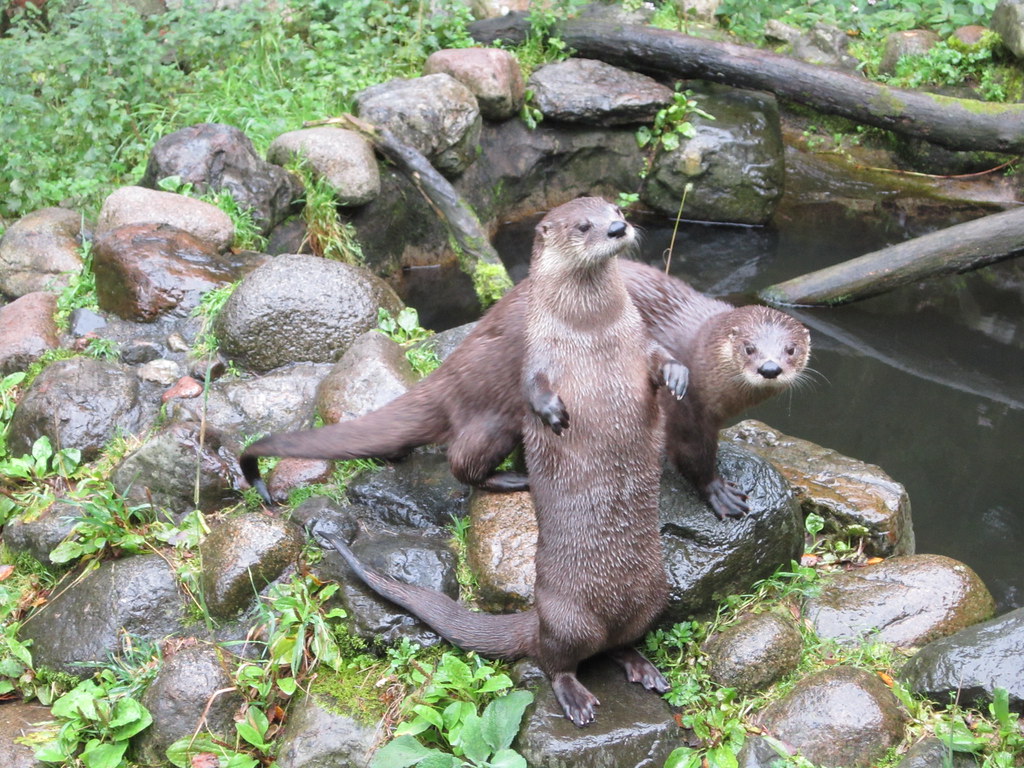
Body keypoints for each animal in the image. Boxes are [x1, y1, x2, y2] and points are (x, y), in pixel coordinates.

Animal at [240, 227, 809, 520]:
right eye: (749, 346)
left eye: (792, 348)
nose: (769, 367)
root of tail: (455, 370)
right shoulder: (688, 410)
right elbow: (691, 455)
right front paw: (719, 492)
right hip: (497, 415)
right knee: (460, 460)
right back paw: (512, 478)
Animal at [328, 198, 685, 726]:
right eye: (584, 225)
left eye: (613, 208)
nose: (618, 228)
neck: (592, 331)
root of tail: (536, 617)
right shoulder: (536, 353)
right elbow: (531, 385)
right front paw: (551, 412)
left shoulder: (641, 340)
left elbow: (661, 359)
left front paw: (679, 377)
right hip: (568, 619)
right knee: (557, 659)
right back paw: (576, 697)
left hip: (654, 596)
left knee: (617, 644)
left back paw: (644, 668)